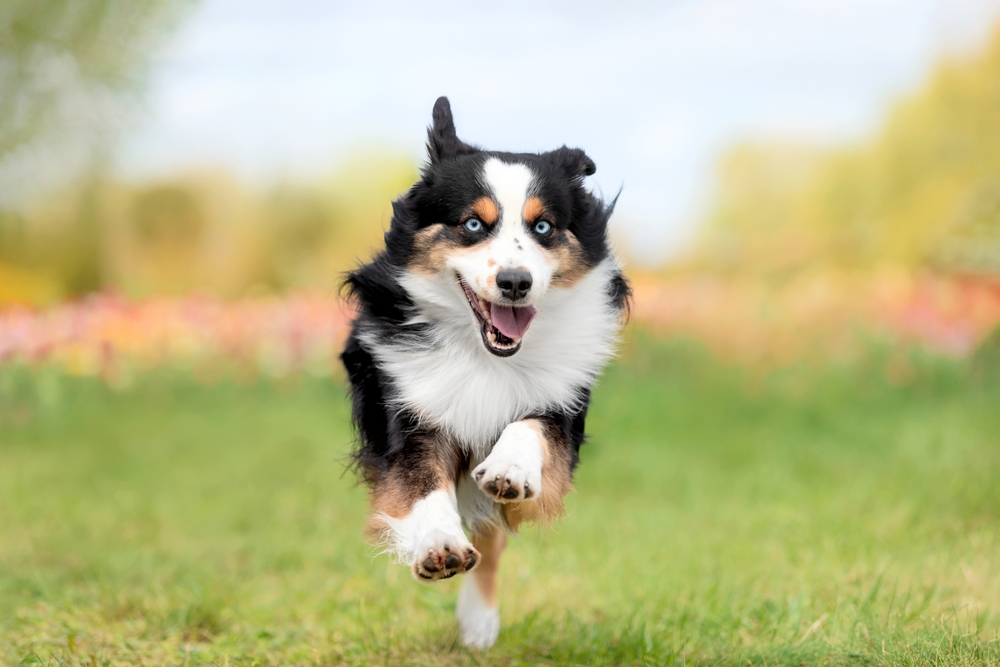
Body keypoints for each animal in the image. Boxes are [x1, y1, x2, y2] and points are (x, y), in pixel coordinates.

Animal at [340, 96, 628, 648]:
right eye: (473, 225)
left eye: (543, 228)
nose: (515, 282)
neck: (486, 355)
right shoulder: (408, 409)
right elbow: (422, 482)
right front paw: (437, 544)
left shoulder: (562, 411)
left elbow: (529, 429)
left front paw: (509, 468)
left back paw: (479, 621)